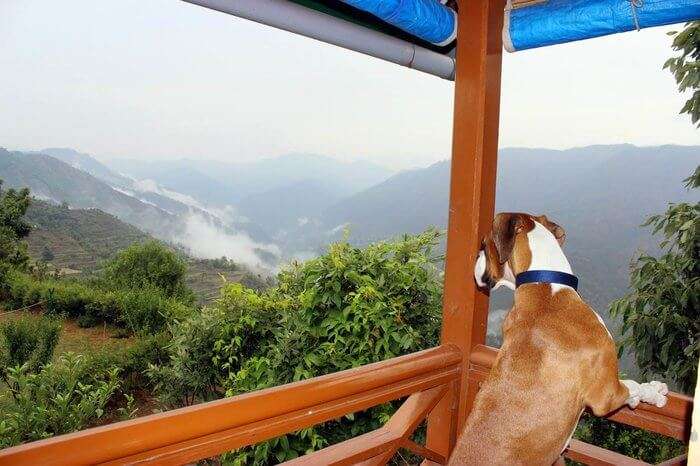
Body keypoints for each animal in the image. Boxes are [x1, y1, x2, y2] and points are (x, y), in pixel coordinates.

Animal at [448, 213, 668, 464]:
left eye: (483, 245)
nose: (476, 255)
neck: (545, 286)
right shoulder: (606, 393)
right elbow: (632, 386)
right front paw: (653, 391)